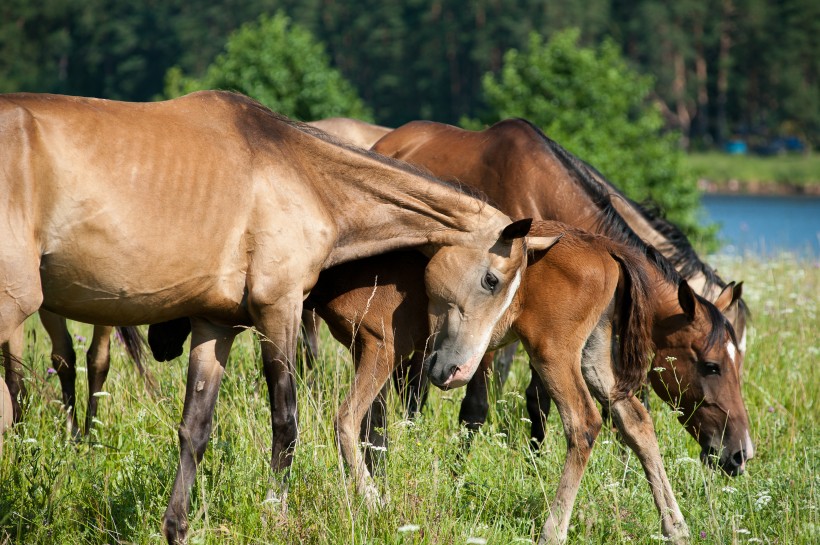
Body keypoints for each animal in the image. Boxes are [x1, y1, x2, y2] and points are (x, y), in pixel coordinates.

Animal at [0, 91, 546, 544]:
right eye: (492, 280)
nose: (455, 371)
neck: (302, 174)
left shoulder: (214, 324)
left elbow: (195, 428)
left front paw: (176, 527)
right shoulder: (278, 308)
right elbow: (286, 421)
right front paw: (274, 511)